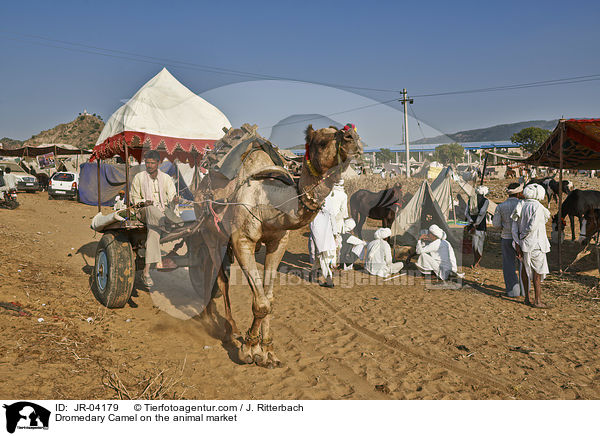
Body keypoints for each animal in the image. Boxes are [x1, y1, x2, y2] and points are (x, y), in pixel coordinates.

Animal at [190, 122, 364, 368]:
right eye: (322, 141)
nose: (353, 139)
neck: (269, 201)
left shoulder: (278, 242)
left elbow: (268, 298)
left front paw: (267, 351)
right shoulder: (242, 240)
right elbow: (261, 303)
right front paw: (248, 349)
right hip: (208, 228)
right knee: (219, 276)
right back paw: (227, 327)